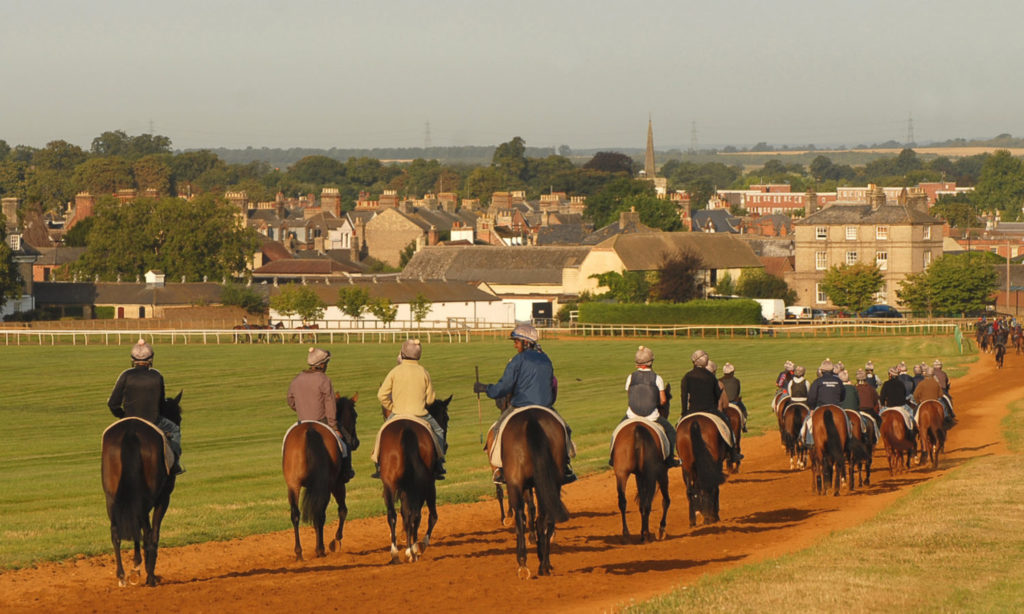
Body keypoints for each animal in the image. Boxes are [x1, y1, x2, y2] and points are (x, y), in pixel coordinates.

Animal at [100, 390, 183, 589]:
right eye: (178, 415)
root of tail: (130, 432)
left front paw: (136, 568)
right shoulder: (163, 498)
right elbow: (154, 533)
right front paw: (145, 571)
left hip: (111, 497)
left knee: (116, 532)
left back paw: (122, 576)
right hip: (148, 498)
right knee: (146, 533)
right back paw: (150, 577)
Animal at [282, 392, 358, 560]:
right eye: (355, 415)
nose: (356, 442)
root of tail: (309, 431)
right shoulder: (337, 484)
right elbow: (342, 510)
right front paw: (335, 541)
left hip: (293, 485)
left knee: (295, 514)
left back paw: (299, 552)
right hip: (327, 485)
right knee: (320, 514)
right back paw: (320, 549)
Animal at [378, 395, 450, 564]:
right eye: (446, 418)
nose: (446, 445)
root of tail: (406, 431)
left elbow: (404, 514)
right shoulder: (428, 485)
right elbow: (430, 516)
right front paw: (418, 547)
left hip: (389, 484)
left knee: (393, 515)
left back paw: (395, 553)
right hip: (425, 485)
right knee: (420, 515)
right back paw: (414, 549)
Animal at [499, 407, 573, 581]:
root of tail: (531, 418)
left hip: (518, 483)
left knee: (524, 517)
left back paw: (527, 564)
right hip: (549, 483)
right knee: (544, 518)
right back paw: (540, 563)